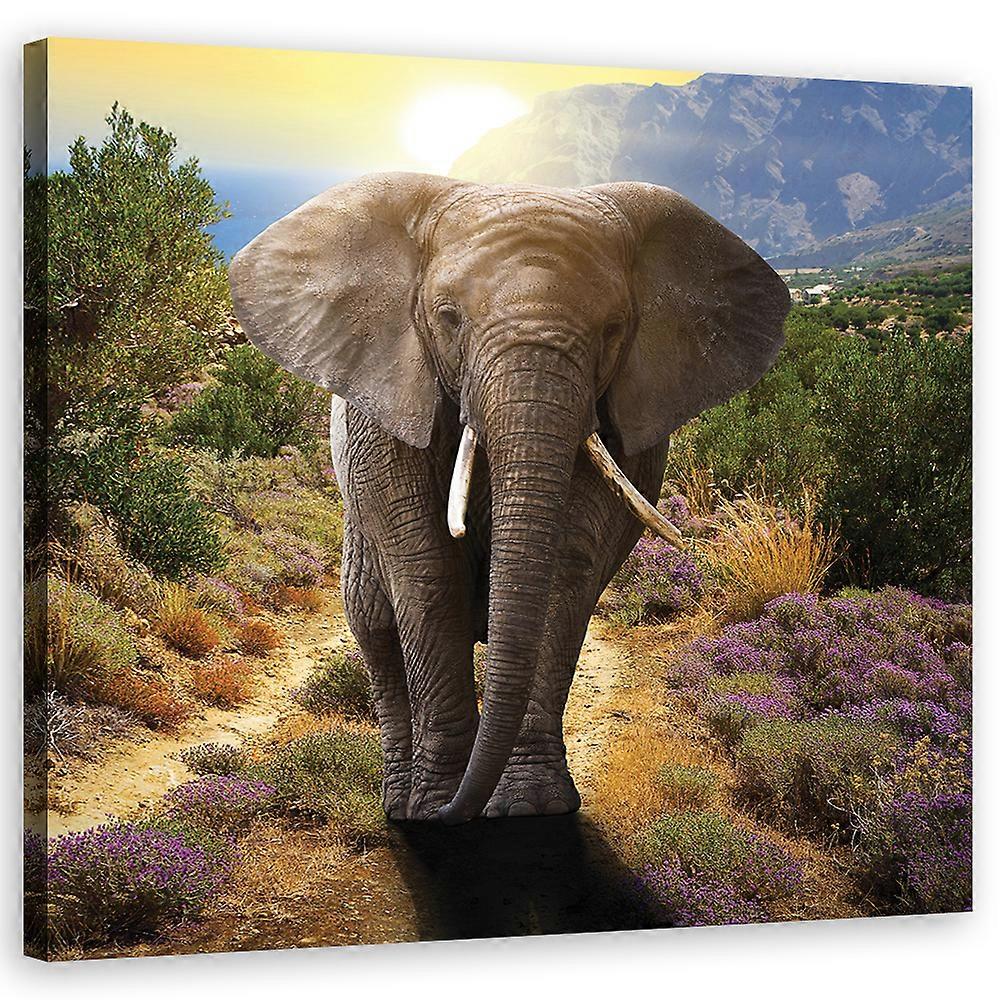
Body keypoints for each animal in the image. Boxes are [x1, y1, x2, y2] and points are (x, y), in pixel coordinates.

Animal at [229, 173, 789, 825]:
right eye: (448, 318)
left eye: (614, 330)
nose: (455, 814)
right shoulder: (388, 407)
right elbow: (427, 570)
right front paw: (436, 807)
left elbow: (568, 564)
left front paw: (528, 807)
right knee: (374, 625)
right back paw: (401, 804)